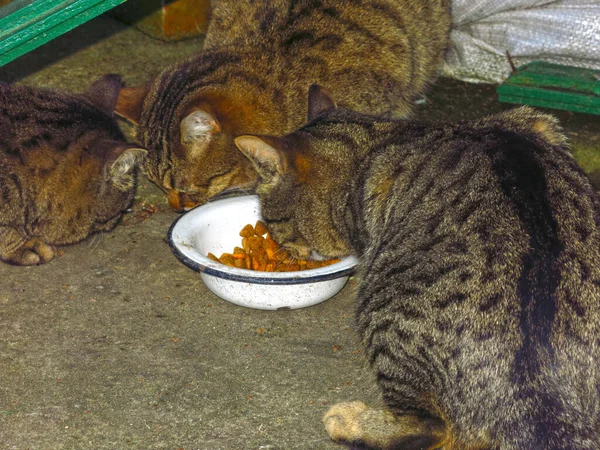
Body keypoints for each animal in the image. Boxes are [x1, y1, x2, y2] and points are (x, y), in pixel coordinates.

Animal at [234, 85, 600, 450]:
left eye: (270, 222)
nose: (284, 250)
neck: (371, 149)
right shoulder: (536, 124)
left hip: (381, 307)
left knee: (430, 428)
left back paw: (350, 422)